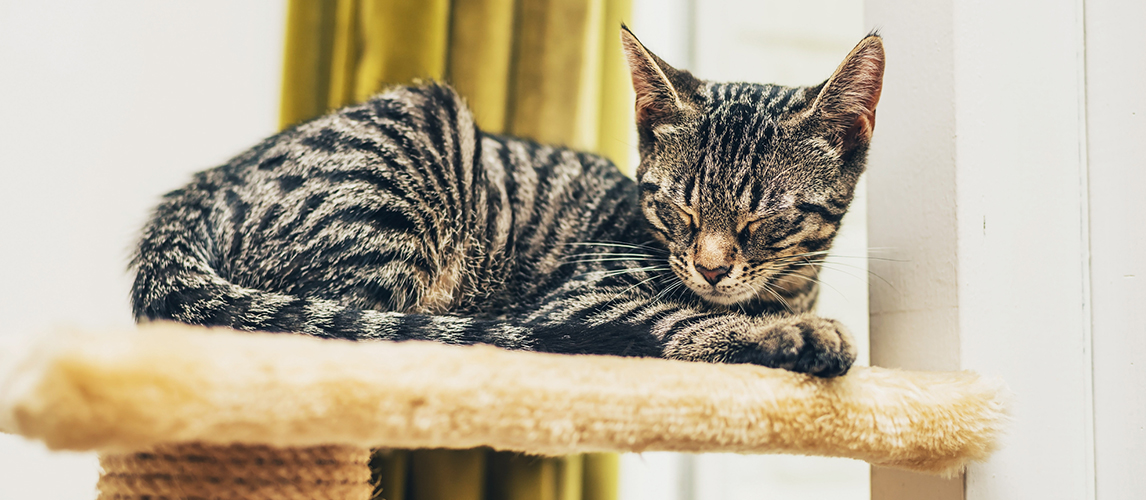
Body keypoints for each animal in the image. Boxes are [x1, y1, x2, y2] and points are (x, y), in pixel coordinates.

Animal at [131, 27, 884, 376]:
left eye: (770, 218)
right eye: (677, 207)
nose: (711, 266)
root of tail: (197, 191)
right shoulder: (585, 298)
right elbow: (680, 318)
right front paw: (793, 334)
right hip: (410, 165)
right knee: (327, 332)